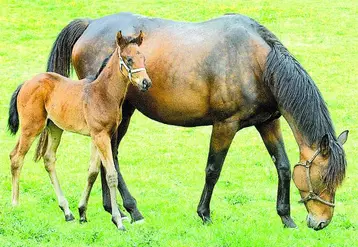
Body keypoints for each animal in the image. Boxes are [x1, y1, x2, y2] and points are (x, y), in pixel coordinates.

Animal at [8, 30, 151, 230]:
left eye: (143, 57)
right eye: (129, 59)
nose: (146, 82)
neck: (103, 93)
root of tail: (26, 83)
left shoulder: (101, 136)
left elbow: (92, 172)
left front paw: (82, 212)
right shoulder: (100, 136)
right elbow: (111, 175)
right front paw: (118, 220)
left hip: (55, 128)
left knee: (49, 159)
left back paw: (67, 212)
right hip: (31, 127)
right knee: (16, 157)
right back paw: (15, 203)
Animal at [41, 13, 346, 230]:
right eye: (322, 179)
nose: (321, 223)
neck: (257, 62)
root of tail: (89, 25)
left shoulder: (268, 122)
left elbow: (282, 166)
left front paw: (286, 217)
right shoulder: (225, 125)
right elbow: (213, 169)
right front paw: (204, 214)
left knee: (108, 157)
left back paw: (114, 209)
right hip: (118, 114)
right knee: (111, 157)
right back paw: (131, 210)